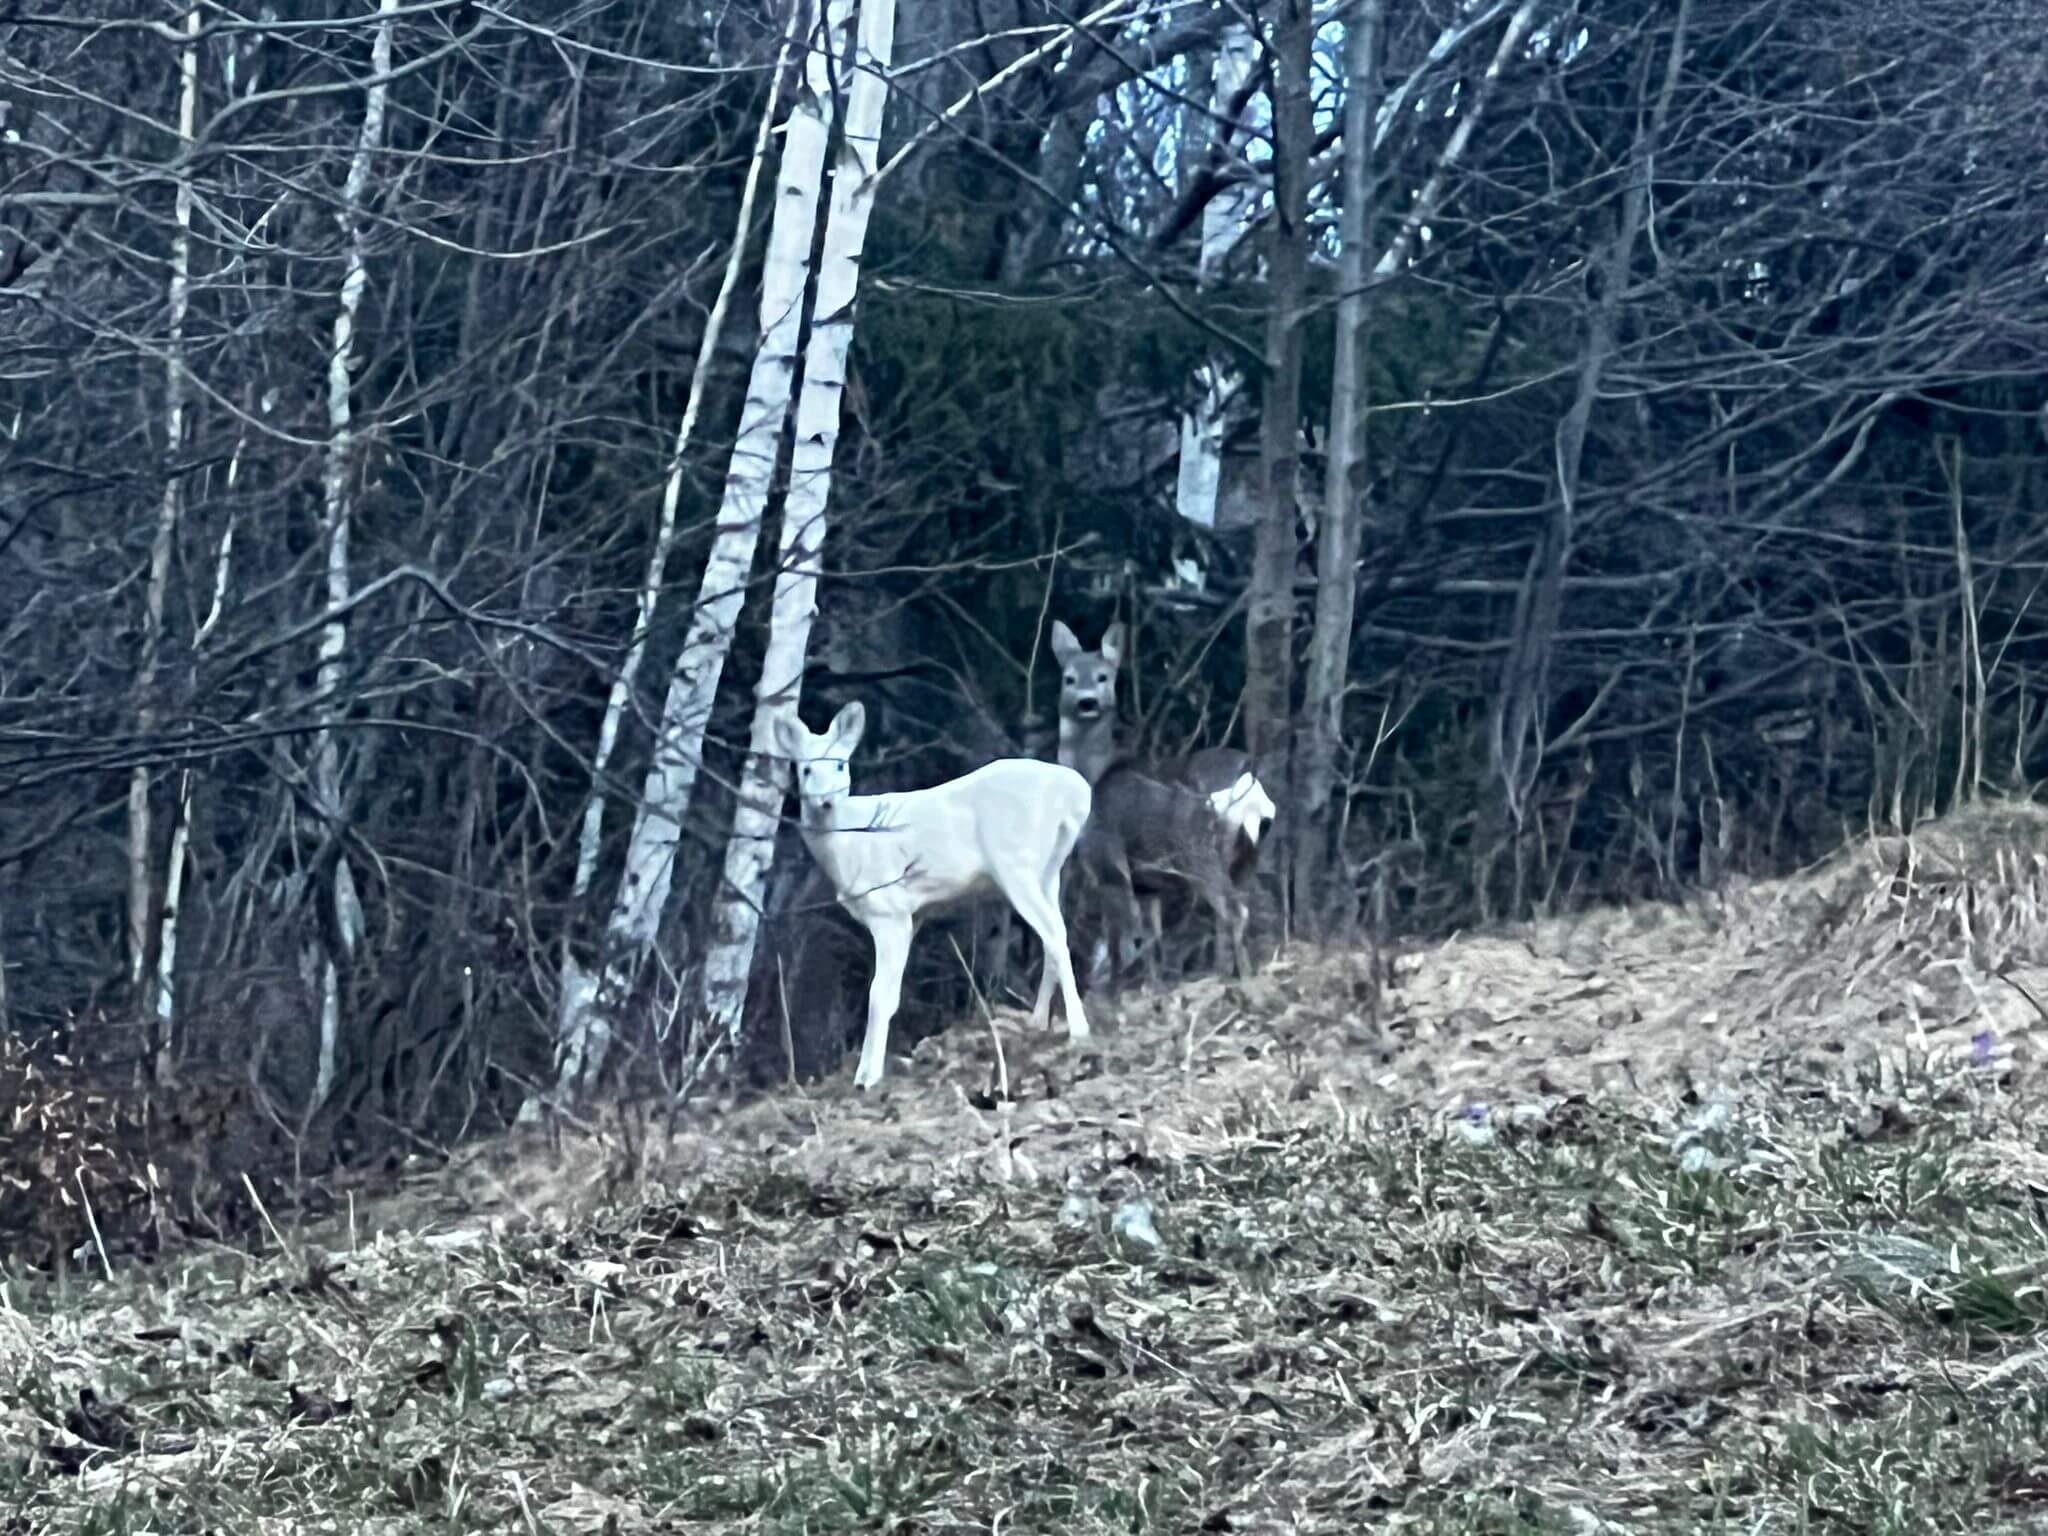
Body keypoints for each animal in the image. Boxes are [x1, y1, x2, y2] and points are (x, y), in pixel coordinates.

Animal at [770, 704, 1089, 1089]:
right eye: (805, 768)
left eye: (840, 765)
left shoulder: (889, 909)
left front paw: (866, 1078)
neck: (850, 844)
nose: (827, 802)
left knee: (1054, 934)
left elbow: (879, 995)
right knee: (1054, 934)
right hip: (1047, 869)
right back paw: (1038, 1022)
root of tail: (1077, 792)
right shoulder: (914, 914)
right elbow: (892, 994)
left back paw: (1079, 1029)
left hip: (1016, 862)